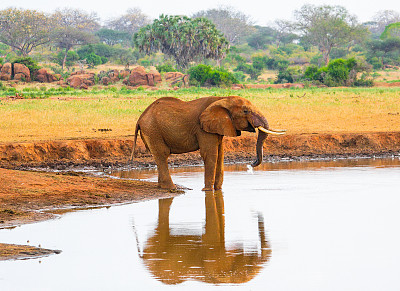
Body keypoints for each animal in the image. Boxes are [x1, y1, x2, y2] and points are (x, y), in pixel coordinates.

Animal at [131, 96, 284, 192]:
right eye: (245, 111)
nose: (251, 164)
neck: (222, 98)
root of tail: (140, 118)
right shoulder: (202, 128)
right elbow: (210, 154)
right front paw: (207, 191)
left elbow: (220, 154)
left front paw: (218, 190)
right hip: (153, 130)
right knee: (162, 155)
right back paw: (171, 188)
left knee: (159, 156)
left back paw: (162, 187)